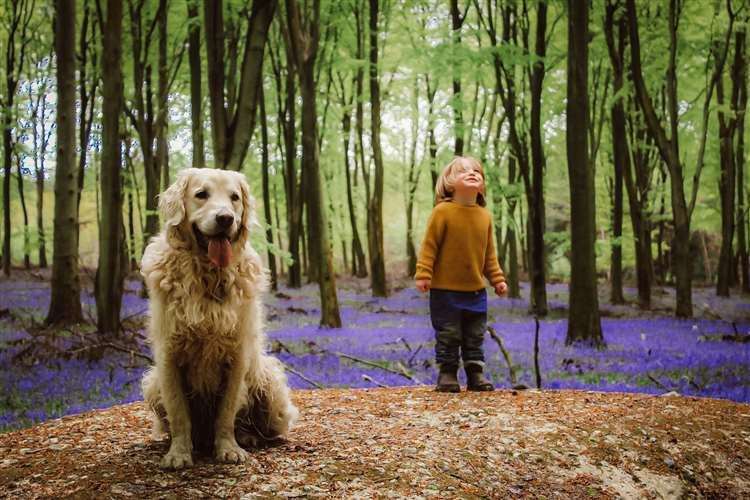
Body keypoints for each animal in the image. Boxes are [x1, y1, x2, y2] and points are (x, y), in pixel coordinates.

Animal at [140, 168, 296, 468]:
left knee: (249, 420)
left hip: (267, 378)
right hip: (152, 383)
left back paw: (246, 436)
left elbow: (226, 412)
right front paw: (178, 453)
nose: (226, 218)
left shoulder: (237, 354)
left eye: (234, 197)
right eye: (201, 194)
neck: (208, 275)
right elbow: (179, 413)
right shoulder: (169, 355)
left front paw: (228, 448)